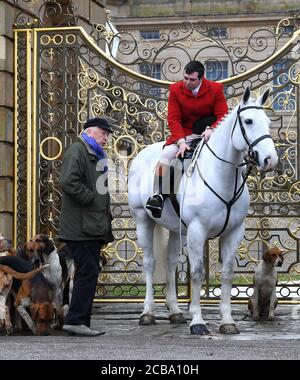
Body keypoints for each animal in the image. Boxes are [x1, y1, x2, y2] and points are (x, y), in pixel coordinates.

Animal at [127, 87, 278, 336]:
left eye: (268, 121)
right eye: (248, 121)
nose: (270, 159)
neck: (222, 175)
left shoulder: (234, 232)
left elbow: (227, 273)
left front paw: (227, 321)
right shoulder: (197, 231)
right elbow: (197, 272)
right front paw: (197, 321)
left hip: (176, 229)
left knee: (170, 262)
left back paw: (175, 311)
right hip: (143, 220)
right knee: (149, 262)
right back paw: (147, 313)